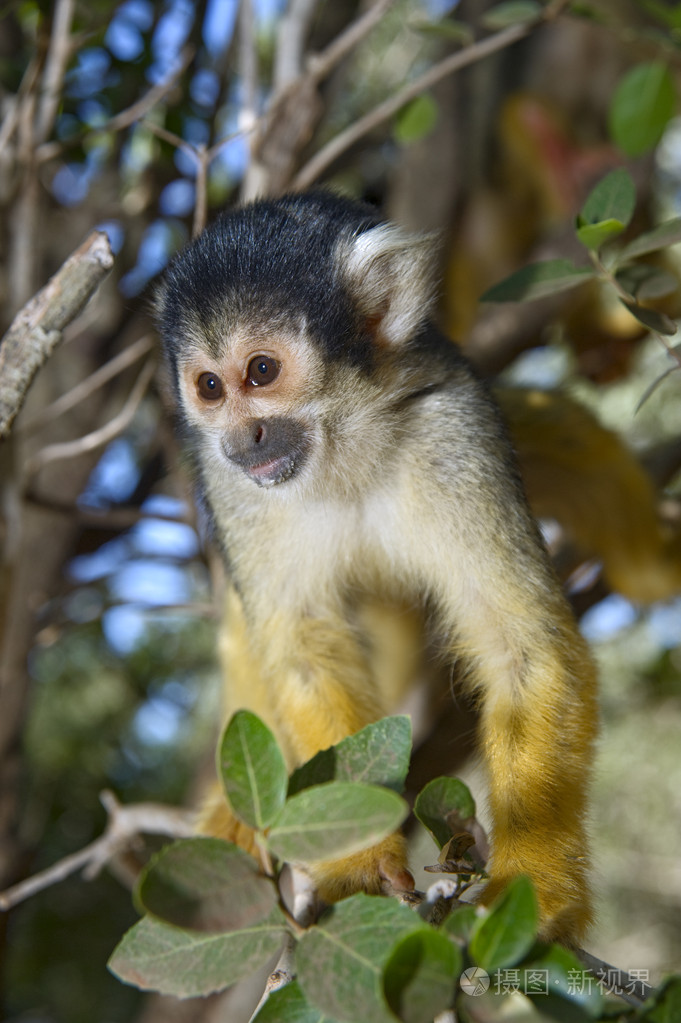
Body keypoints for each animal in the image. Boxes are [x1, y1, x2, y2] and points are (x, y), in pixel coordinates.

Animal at [155, 190, 598, 947]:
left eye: (261, 372)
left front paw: (534, 887)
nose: (244, 436)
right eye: (209, 386)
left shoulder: (451, 430)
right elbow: (303, 648)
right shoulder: (232, 486)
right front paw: (355, 857)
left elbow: (523, 649)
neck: (344, 444)